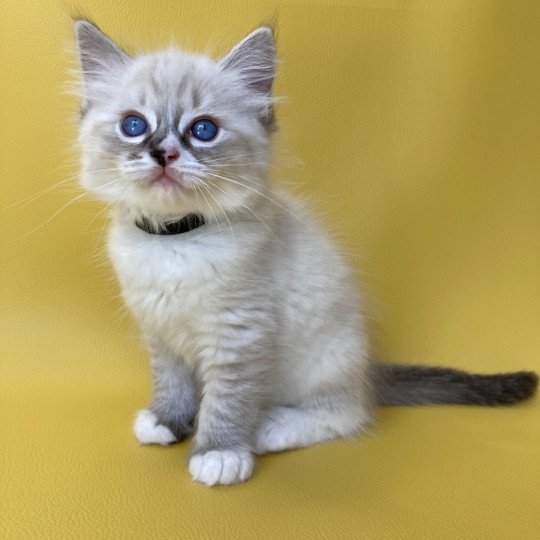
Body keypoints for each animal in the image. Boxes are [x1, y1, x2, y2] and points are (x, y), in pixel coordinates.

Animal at [75, 20, 536, 486]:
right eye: (134, 125)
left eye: (203, 130)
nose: (164, 154)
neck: (174, 240)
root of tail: (369, 371)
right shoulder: (161, 332)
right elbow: (172, 383)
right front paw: (166, 422)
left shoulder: (239, 335)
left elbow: (226, 401)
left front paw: (218, 452)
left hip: (325, 362)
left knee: (346, 415)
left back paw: (268, 428)